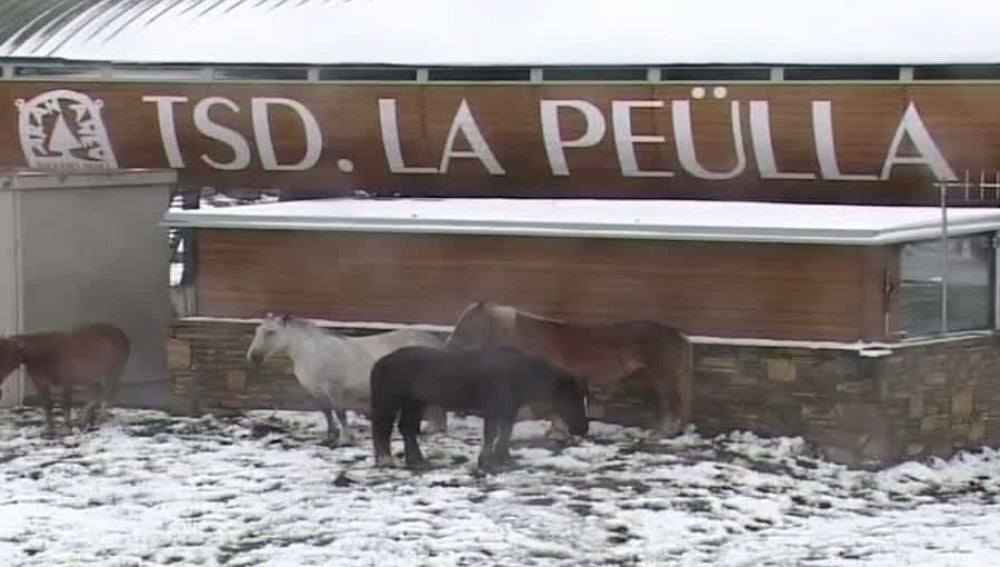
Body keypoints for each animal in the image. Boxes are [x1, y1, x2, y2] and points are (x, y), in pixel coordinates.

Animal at [0, 322, 130, 438]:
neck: (42, 354)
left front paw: (65, 429)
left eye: (6, 354)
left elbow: (65, 405)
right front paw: (49, 429)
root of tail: (120, 333)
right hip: (90, 379)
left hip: (111, 373)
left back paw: (98, 419)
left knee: (106, 396)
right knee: (95, 396)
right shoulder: (41, 385)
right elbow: (47, 407)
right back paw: (85, 418)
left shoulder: (66, 383)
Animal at [244, 316, 448, 444]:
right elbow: (327, 412)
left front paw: (345, 438)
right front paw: (330, 436)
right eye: (258, 330)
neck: (313, 352)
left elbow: (340, 413)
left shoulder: (334, 389)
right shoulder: (316, 391)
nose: (253, 356)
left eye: (271, 332)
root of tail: (432, 341)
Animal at [370, 346, 588, 470]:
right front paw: (486, 462)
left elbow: (504, 433)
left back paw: (417, 461)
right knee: (383, 429)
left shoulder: (508, 410)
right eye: (573, 397)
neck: (518, 374)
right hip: (389, 402)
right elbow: (491, 434)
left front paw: (505, 459)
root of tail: (379, 363)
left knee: (406, 429)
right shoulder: (493, 410)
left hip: (415, 403)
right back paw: (386, 461)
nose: (583, 429)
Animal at [448, 302, 692, 440]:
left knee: (674, 406)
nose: (449, 345)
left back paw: (661, 434)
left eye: (466, 322)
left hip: (665, 379)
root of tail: (678, 335)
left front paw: (557, 432)